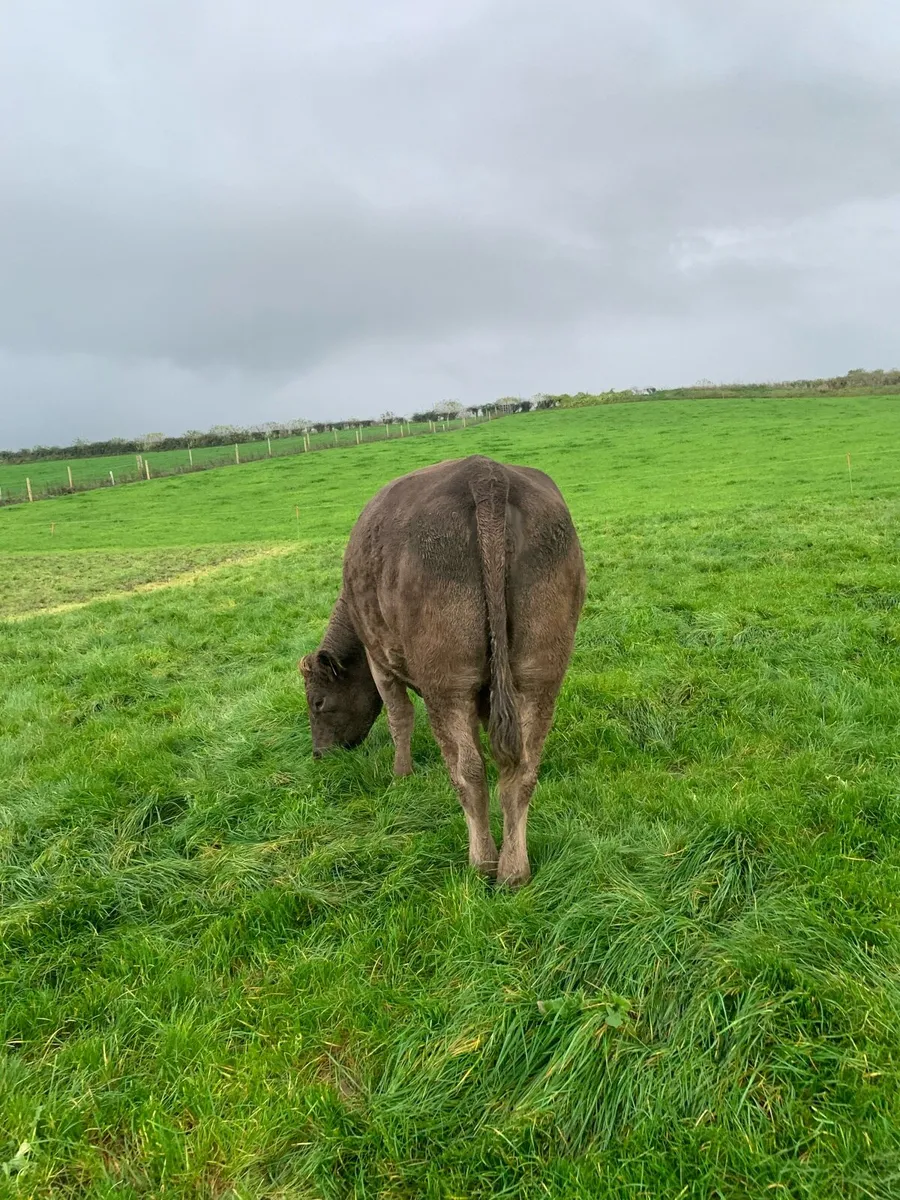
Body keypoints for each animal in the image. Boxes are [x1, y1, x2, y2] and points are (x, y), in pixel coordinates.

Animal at [299, 454, 586, 886]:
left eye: (317, 702)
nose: (319, 754)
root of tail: (485, 474)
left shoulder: (379, 660)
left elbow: (399, 717)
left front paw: (401, 774)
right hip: (539, 674)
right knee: (521, 770)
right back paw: (513, 871)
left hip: (447, 683)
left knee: (467, 771)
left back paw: (482, 864)